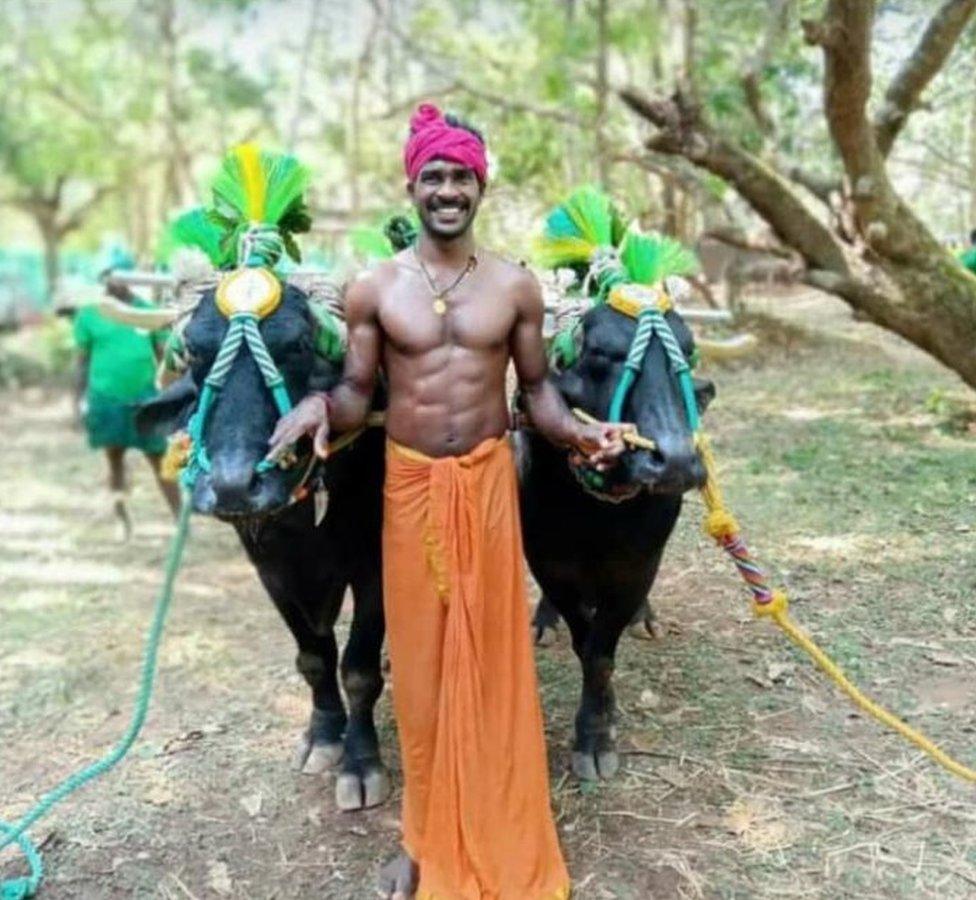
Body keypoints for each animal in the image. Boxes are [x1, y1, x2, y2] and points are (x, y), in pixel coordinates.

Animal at [137, 284, 388, 812]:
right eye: (195, 352)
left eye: (298, 345)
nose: (233, 486)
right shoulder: (270, 570)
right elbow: (313, 658)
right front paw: (323, 735)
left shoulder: (375, 564)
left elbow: (358, 669)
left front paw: (360, 763)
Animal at [516, 300, 712, 780]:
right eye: (603, 353)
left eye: (687, 351)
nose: (675, 461)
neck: (598, 514)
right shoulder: (548, 560)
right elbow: (584, 642)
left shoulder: (637, 566)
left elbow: (601, 653)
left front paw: (598, 731)